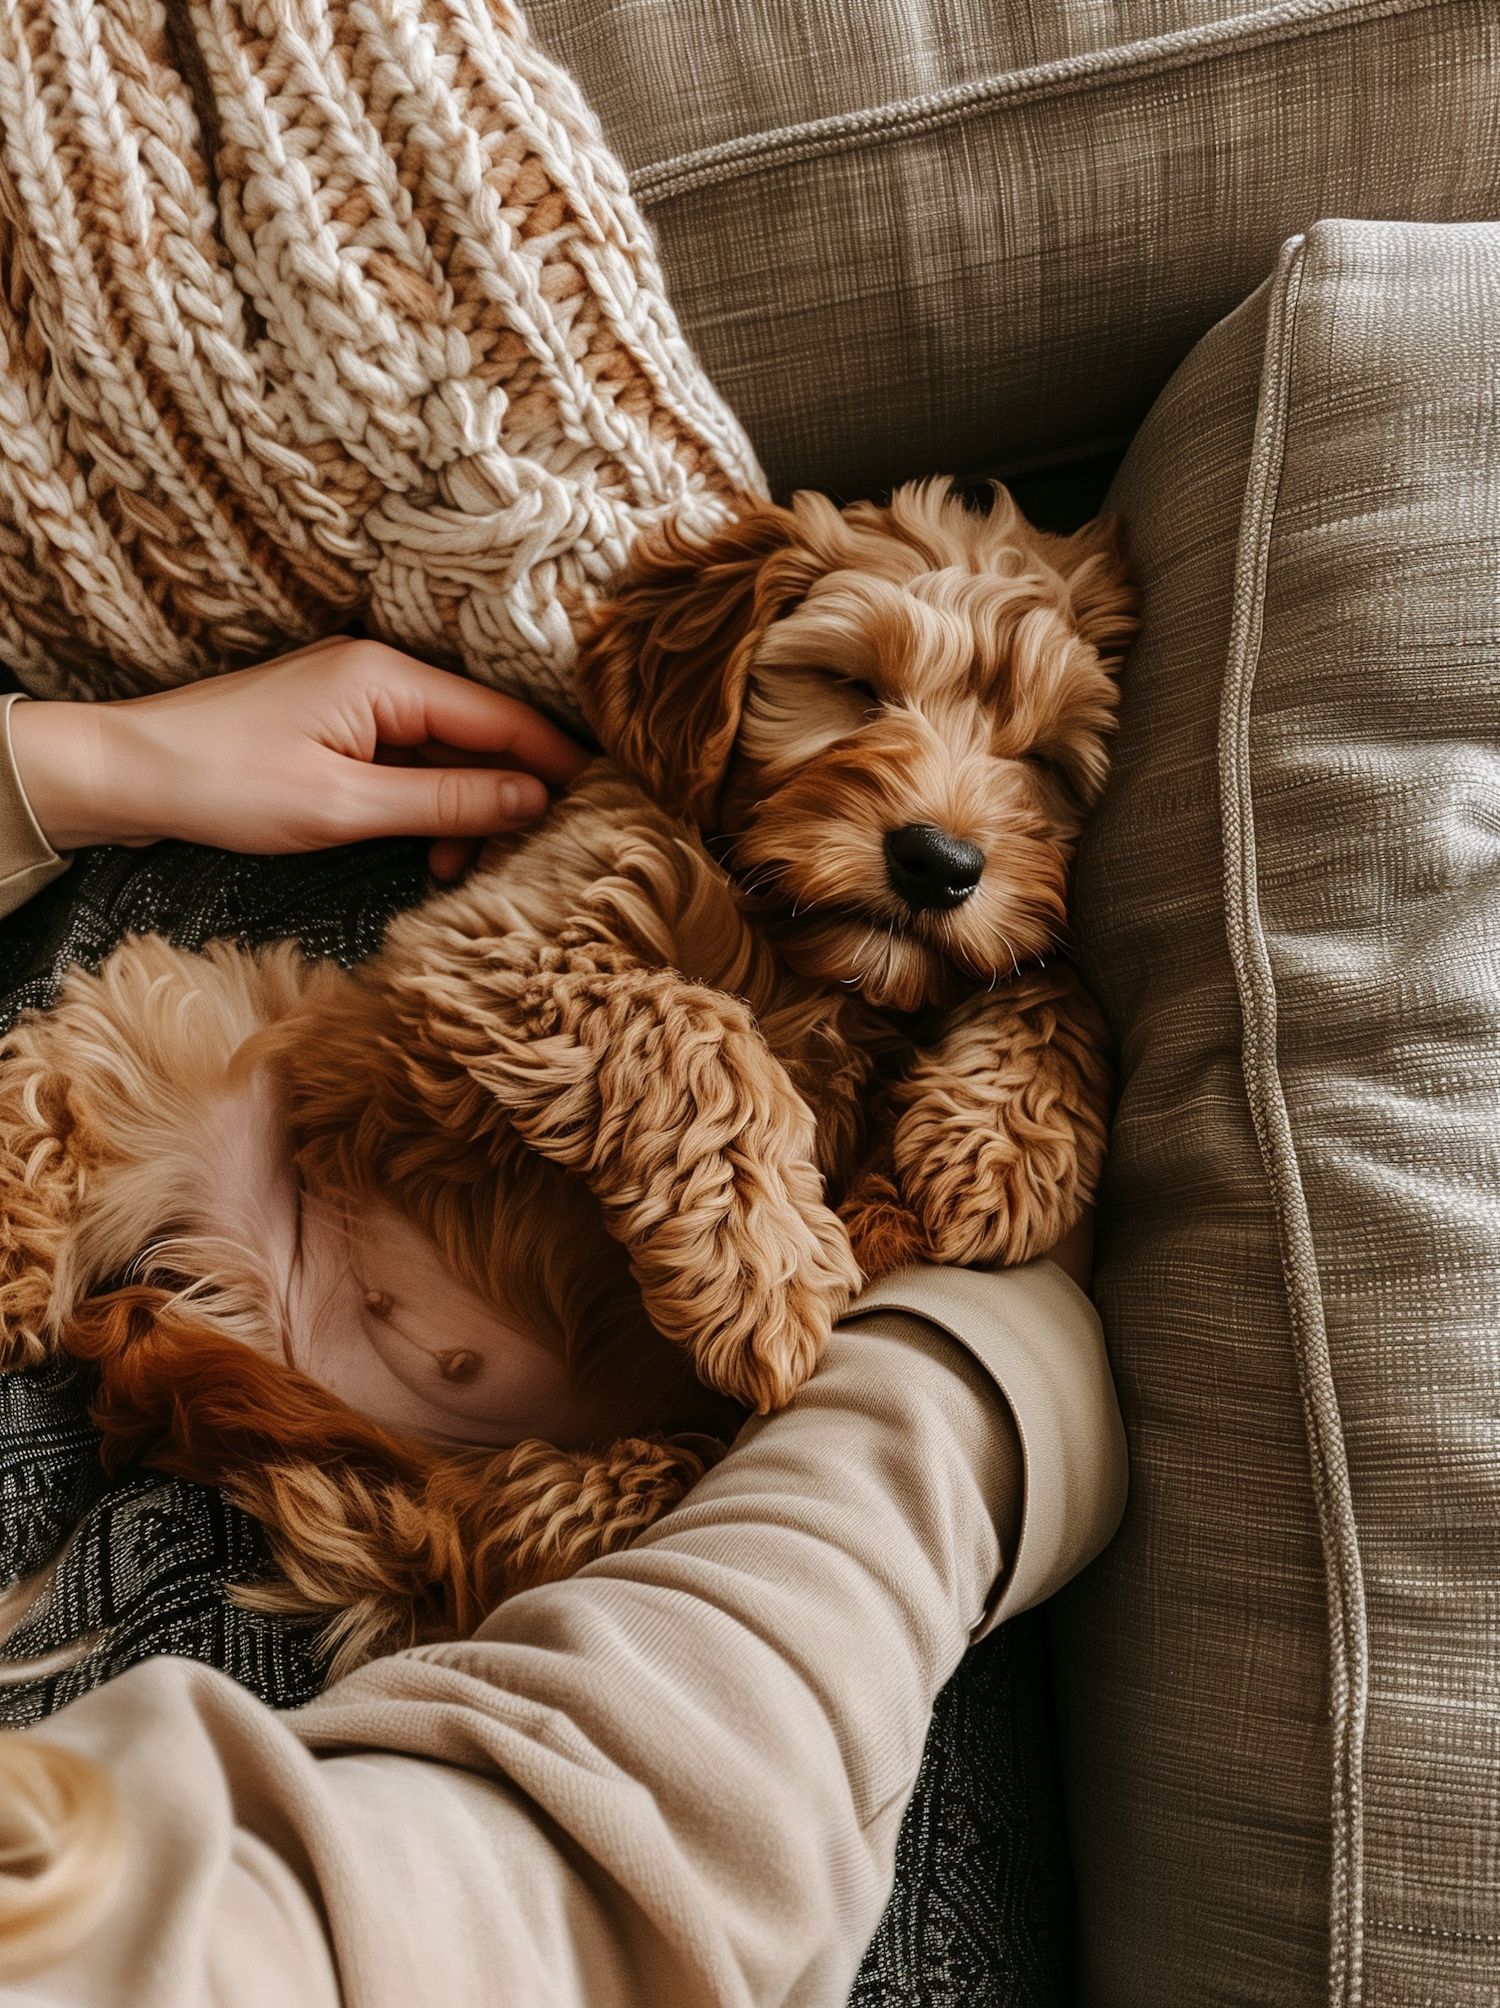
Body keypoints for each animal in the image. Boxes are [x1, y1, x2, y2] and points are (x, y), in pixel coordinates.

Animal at [0, 477, 1140, 1670]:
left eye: (1045, 762)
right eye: (855, 686)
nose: (939, 862)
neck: (806, 961)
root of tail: (309, 1351)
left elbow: (1056, 981)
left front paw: (999, 1150)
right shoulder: (507, 942)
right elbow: (692, 1021)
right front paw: (767, 1263)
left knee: (521, 1533)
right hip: (183, 1038)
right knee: (58, 1097)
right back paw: (14, 1272)